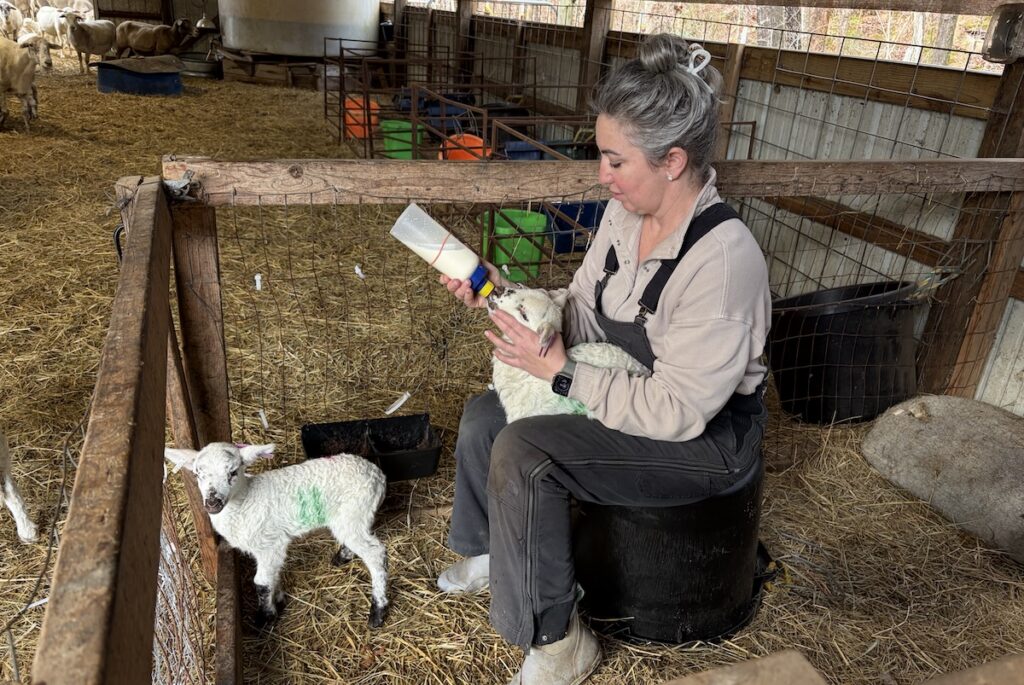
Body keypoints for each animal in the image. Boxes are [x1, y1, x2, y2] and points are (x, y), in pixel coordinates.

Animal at [164, 442, 389, 628]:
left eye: (233, 472)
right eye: (197, 474)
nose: (212, 503)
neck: (245, 500)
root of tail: (378, 474)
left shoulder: (270, 544)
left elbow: (261, 583)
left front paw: (266, 617)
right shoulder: (270, 548)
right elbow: (272, 576)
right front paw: (278, 599)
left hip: (354, 511)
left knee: (375, 553)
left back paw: (378, 611)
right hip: (354, 518)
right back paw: (342, 556)